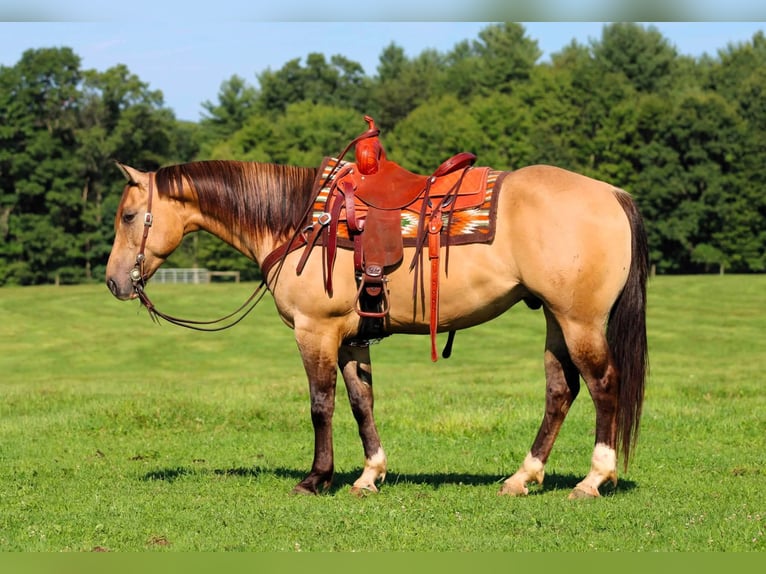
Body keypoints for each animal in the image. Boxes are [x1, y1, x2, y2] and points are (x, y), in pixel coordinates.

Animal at [105, 150, 648, 500]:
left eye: (129, 216)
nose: (113, 281)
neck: (298, 221)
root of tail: (611, 193)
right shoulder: (350, 339)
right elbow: (360, 402)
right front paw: (369, 475)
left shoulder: (315, 331)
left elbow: (320, 405)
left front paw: (316, 478)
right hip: (556, 319)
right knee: (560, 391)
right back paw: (522, 477)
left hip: (580, 321)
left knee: (603, 386)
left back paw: (592, 480)